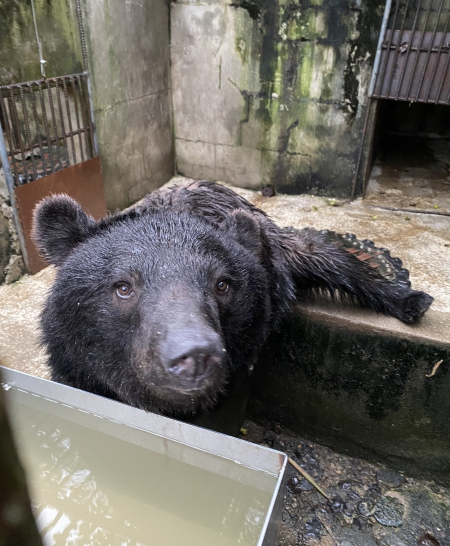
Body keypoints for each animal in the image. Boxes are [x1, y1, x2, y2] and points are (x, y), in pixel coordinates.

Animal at [31, 181, 432, 414]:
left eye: (222, 285)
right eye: (123, 286)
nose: (194, 355)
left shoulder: (242, 355)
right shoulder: (76, 367)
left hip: (274, 245)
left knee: (322, 255)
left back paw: (406, 295)